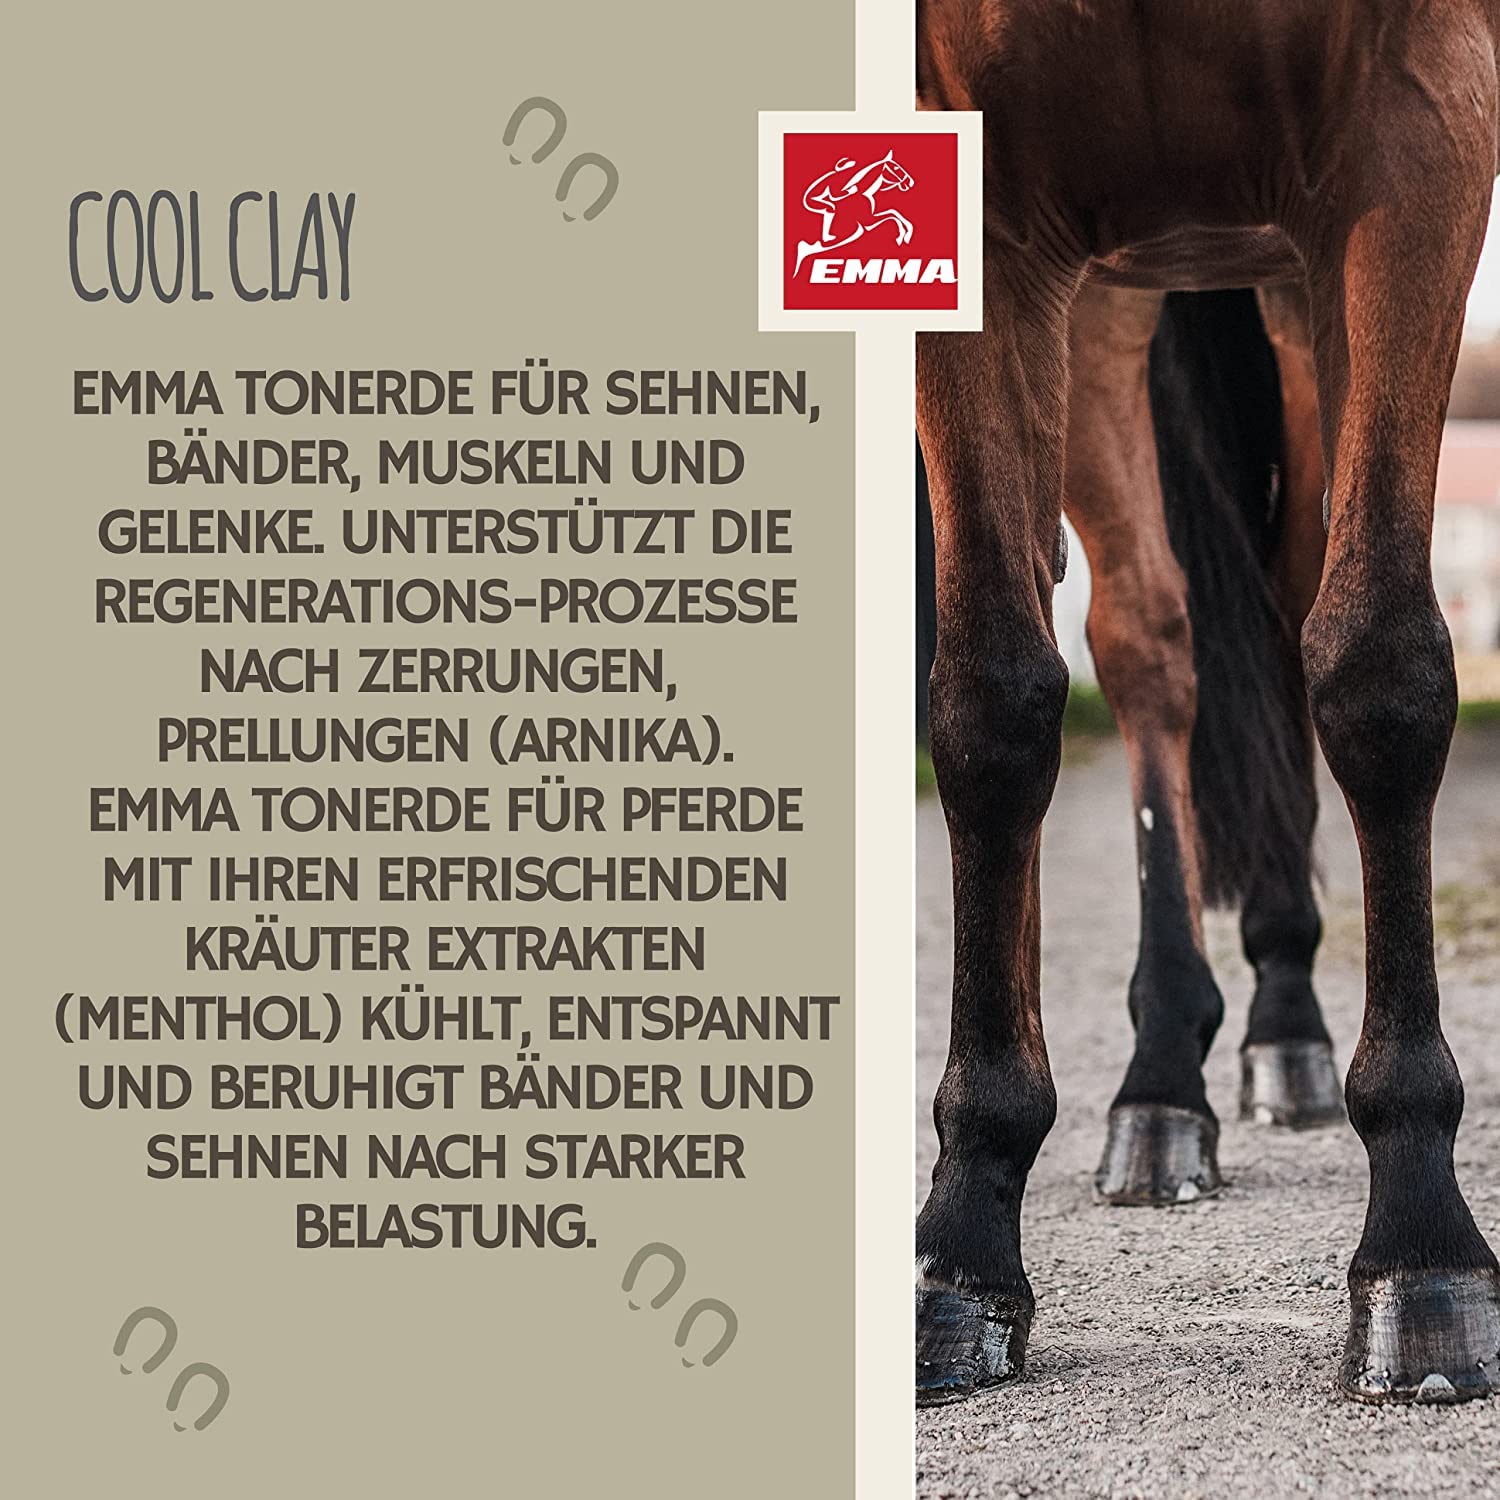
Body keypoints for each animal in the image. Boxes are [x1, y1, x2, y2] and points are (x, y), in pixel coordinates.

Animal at [914, 0, 1500, 1407]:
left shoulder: (1415, 134)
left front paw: (1421, 1247)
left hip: (1283, 283)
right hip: (1113, 298)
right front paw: (963, 1241)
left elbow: (1380, 671)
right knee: (1145, 645)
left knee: (1290, 613)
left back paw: (1283, 1025)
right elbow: (992, 702)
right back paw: (1159, 1086)